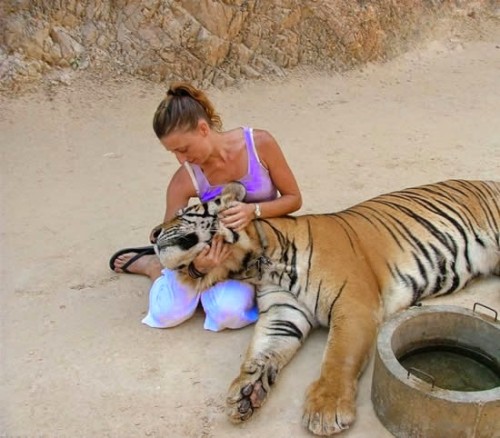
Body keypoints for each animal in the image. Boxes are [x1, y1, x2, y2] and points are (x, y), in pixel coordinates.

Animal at [152, 180, 500, 436]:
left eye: (187, 210)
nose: (153, 234)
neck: (256, 262)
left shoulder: (354, 304)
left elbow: (338, 356)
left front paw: (326, 409)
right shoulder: (284, 313)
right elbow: (261, 351)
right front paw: (247, 392)